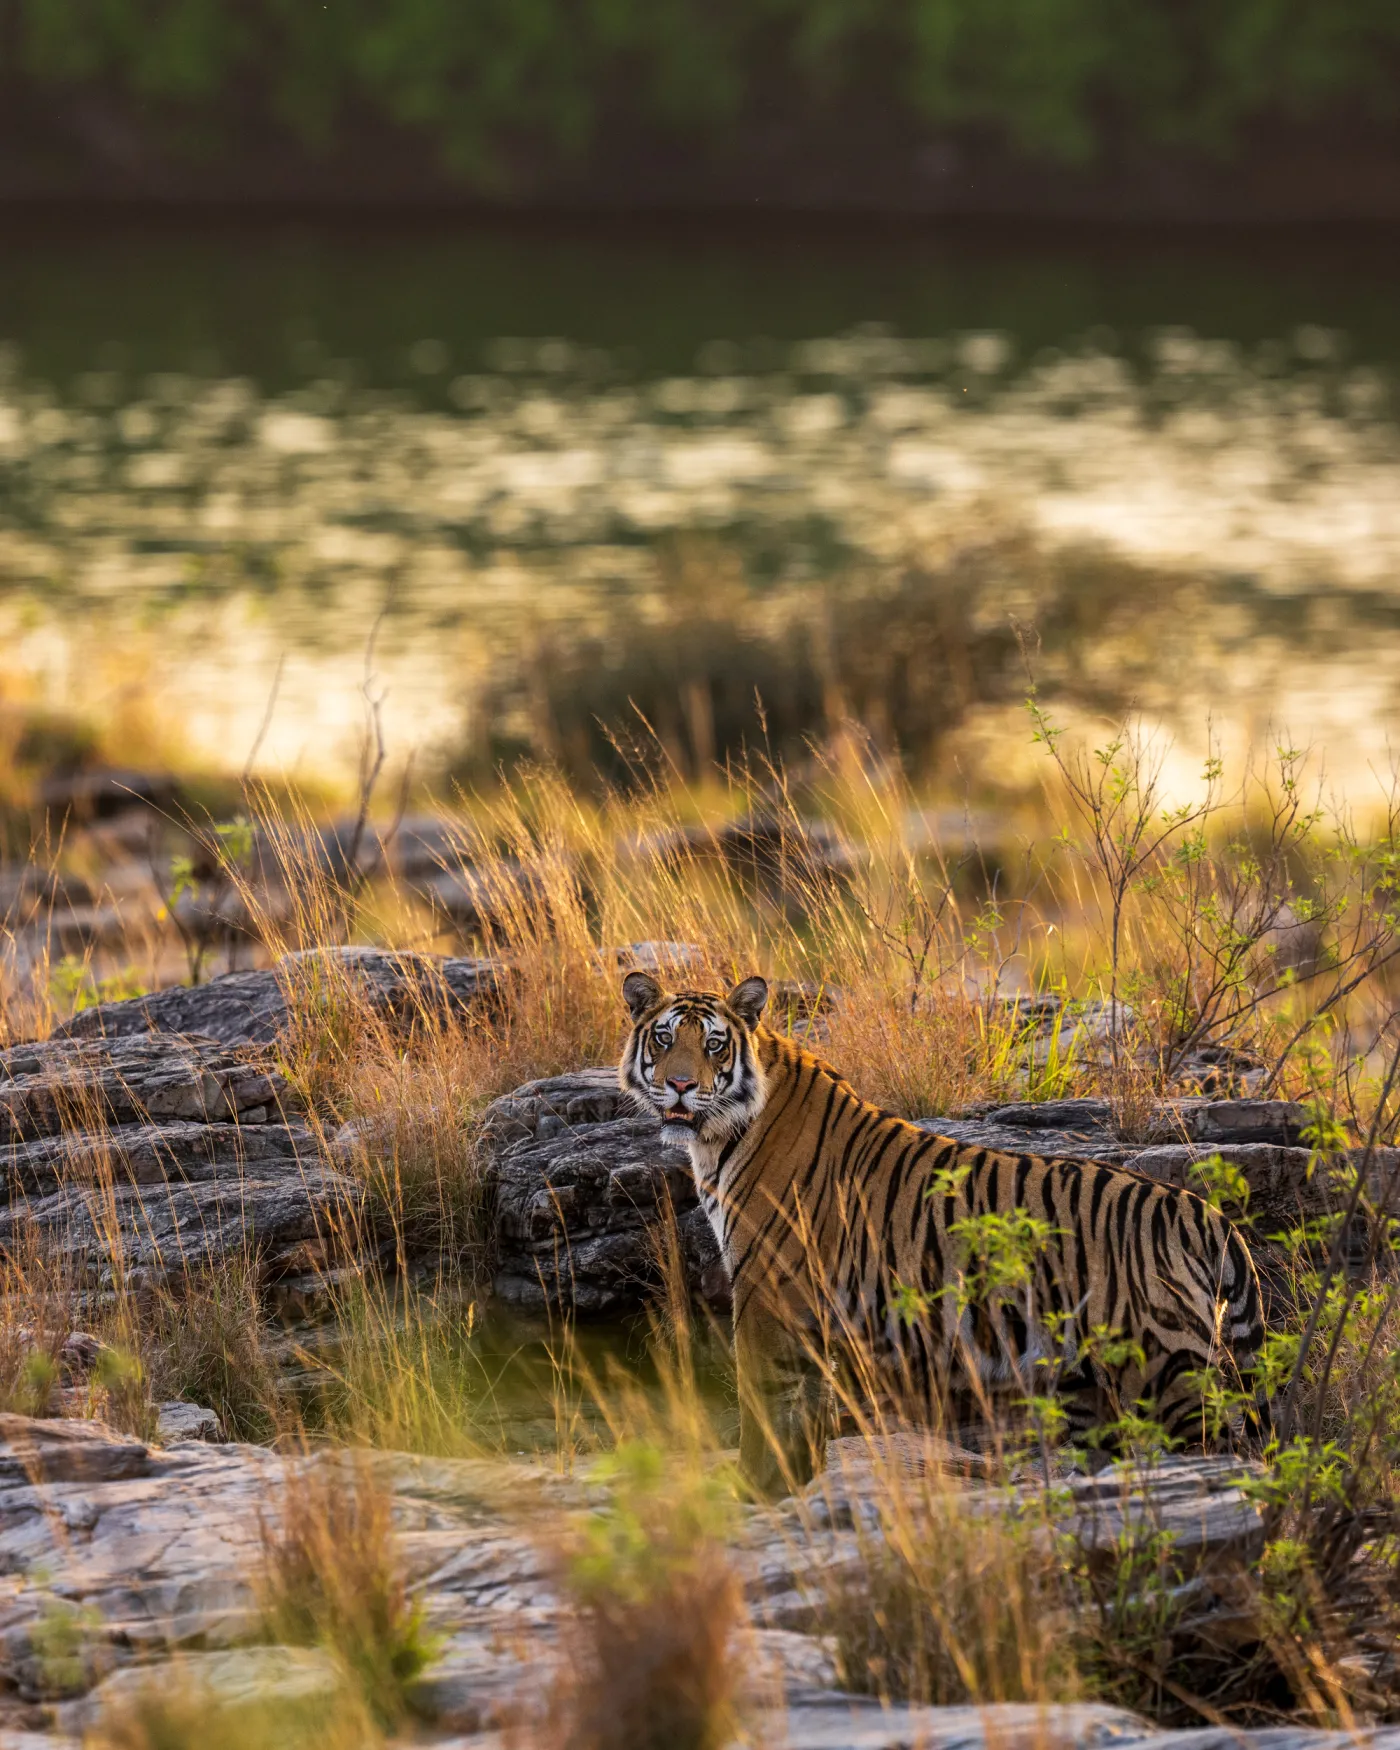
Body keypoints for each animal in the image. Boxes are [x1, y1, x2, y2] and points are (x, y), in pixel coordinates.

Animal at [619, 968, 1266, 1497]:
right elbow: (808, 1408)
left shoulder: (765, 1289)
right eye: (664, 1039)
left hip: (1166, 1369)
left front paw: (753, 1491)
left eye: (713, 1044)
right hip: (1087, 1383)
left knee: (1223, 1453)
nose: (680, 1085)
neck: (717, 1135)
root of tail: (1203, 1211)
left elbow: (761, 1406)